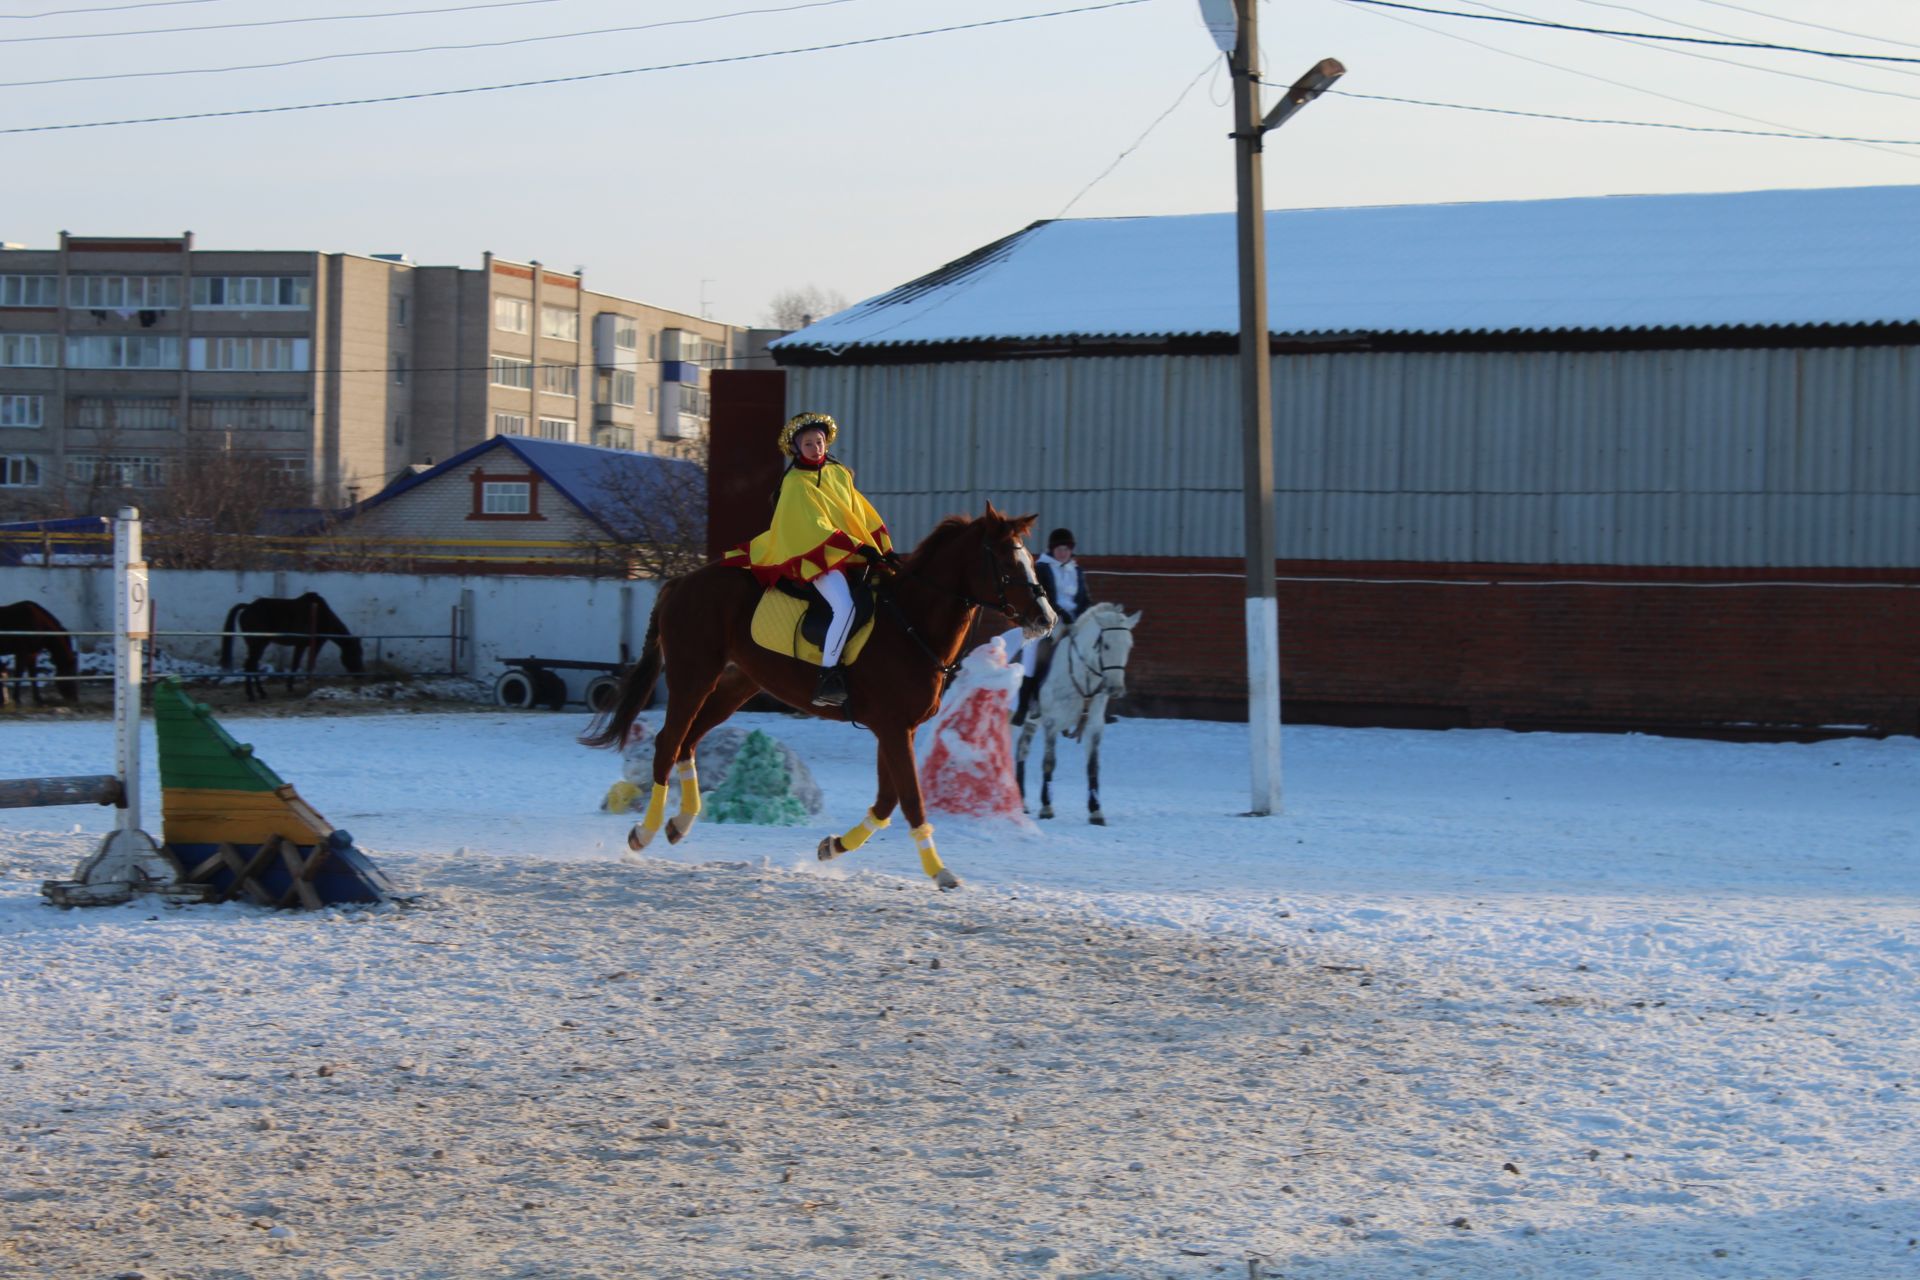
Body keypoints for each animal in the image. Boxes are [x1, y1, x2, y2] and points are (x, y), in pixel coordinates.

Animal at [219, 594, 364, 702]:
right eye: (356, 653)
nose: (360, 674)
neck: (322, 615)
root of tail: (248, 607)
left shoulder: (300, 645)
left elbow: (296, 664)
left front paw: (290, 686)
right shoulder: (312, 645)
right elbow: (307, 664)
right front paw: (302, 686)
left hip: (255, 645)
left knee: (252, 665)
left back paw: (261, 693)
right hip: (258, 644)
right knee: (250, 665)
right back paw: (252, 695)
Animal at [583, 502, 1067, 890]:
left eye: (1030, 560)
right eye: (1007, 562)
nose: (1046, 618)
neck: (911, 622)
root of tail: (682, 582)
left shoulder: (896, 730)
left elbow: (887, 802)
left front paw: (832, 846)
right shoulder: (894, 728)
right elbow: (911, 800)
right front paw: (940, 872)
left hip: (737, 683)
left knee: (688, 741)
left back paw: (679, 823)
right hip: (693, 676)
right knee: (669, 742)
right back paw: (644, 833)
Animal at [1021, 602, 1136, 825]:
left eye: (1128, 645)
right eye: (1106, 645)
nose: (1116, 689)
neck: (1082, 673)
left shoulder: (1094, 725)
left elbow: (1093, 766)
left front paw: (1096, 811)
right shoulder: (1051, 722)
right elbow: (1049, 763)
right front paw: (1047, 807)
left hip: (1030, 721)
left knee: (1021, 750)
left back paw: (1021, 802)